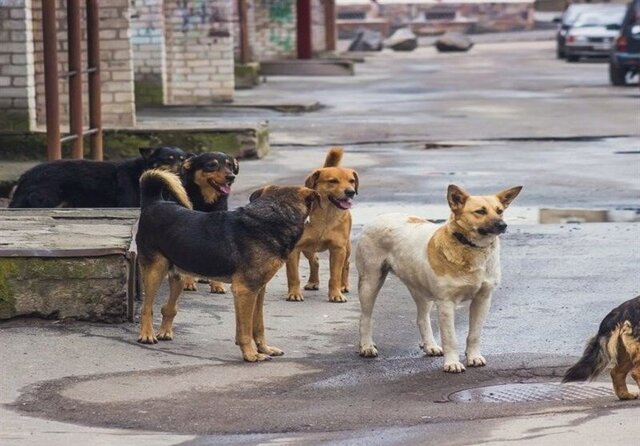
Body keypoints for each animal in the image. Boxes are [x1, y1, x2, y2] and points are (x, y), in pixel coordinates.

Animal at [10, 146, 186, 209]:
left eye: (183, 159)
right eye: (168, 159)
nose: (182, 169)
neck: (142, 171)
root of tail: (25, 176)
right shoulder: (129, 204)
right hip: (47, 199)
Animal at [138, 170, 322, 362]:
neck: (275, 216)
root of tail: (155, 202)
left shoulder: (258, 290)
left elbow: (258, 325)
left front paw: (264, 348)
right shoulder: (245, 290)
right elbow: (245, 330)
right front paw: (250, 354)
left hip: (178, 276)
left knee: (168, 307)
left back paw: (165, 331)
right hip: (154, 271)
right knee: (147, 308)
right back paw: (147, 335)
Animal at [179, 152, 239, 294]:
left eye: (230, 165)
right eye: (212, 165)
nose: (231, 177)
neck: (206, 202)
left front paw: (217, 285)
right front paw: (188, 282)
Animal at [286, 146, 358, 304]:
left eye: (352, 181)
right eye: (333, 181)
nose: (350, 192)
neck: (325, 215)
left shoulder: (338, 249)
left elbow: (335, 276)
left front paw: (336, 294)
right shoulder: (294, 249)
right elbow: (293, 275)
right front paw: (294, 293)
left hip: (347, 248)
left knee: (346, 265)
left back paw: (343, 285)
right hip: (308, 248)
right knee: (315, 261)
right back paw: (313, 282)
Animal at [358, 185, 524, 372]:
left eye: (500, 211)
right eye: (480, 211)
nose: (503, 225)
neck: (470, 247)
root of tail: (380, 216)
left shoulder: (483, 299)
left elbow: (474, 334)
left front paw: (473, 357)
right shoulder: (446, 303)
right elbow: (450, 338)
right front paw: (452, 363)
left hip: (420, 289)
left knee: (422, 318)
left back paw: (430, 345)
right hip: (370, 283)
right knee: (365, 317)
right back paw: (366, 346)